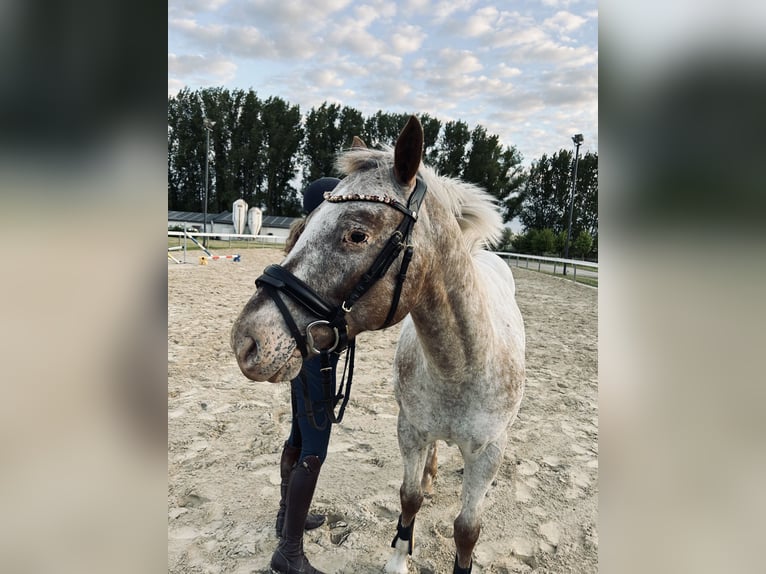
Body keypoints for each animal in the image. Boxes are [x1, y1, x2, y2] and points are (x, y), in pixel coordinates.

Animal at [231, 116, 525, 574]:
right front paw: (398, 560)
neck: (460, 365)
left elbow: (466, 530)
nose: (247, 342)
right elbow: (410, 499)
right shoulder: (411, 431)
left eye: (357, 234)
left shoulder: (488, 453)